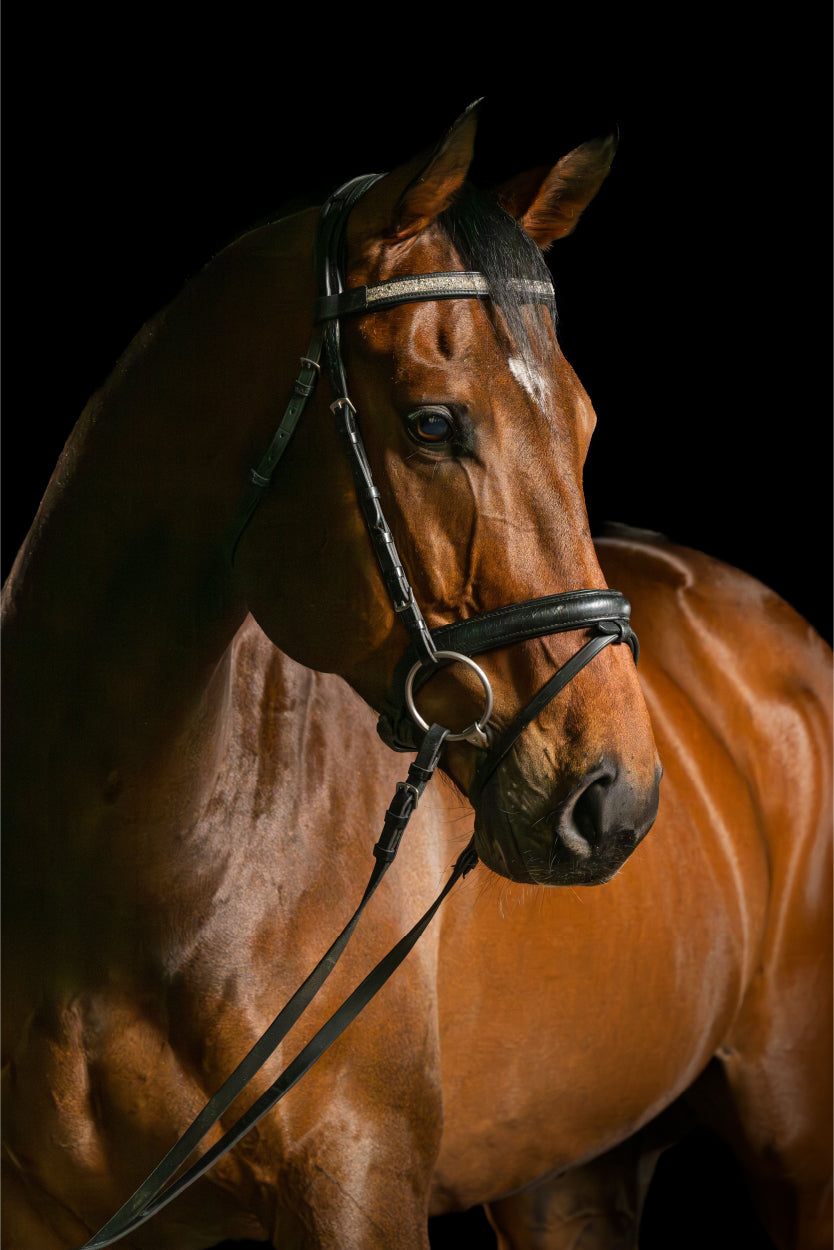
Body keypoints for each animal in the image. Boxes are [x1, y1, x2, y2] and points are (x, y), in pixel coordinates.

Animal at [2, 102, 830, 1250]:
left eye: (584, 426)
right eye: (433, 423)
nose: (614, 801)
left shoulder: (357, 1185)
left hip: (797, 1138)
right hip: (567, 1174)